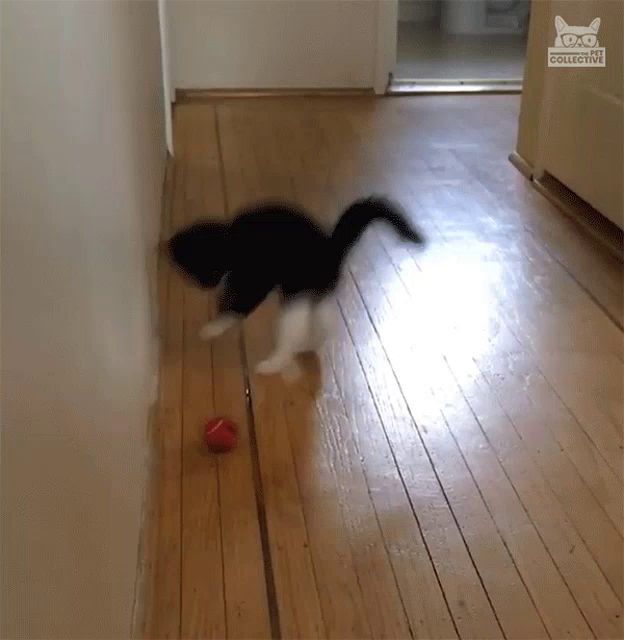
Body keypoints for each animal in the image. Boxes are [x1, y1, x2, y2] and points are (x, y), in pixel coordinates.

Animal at [166, 195, 424, 376]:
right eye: (193, 274)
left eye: (206, 270)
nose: (206, 286)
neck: (233, 241)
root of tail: (331, 248)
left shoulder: (256, 280)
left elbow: (238, 307)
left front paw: (215, 326)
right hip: (314, 292)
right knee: (325, 319)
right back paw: (311, 342)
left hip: (295, 293)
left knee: (292, 333)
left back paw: (272, 364)